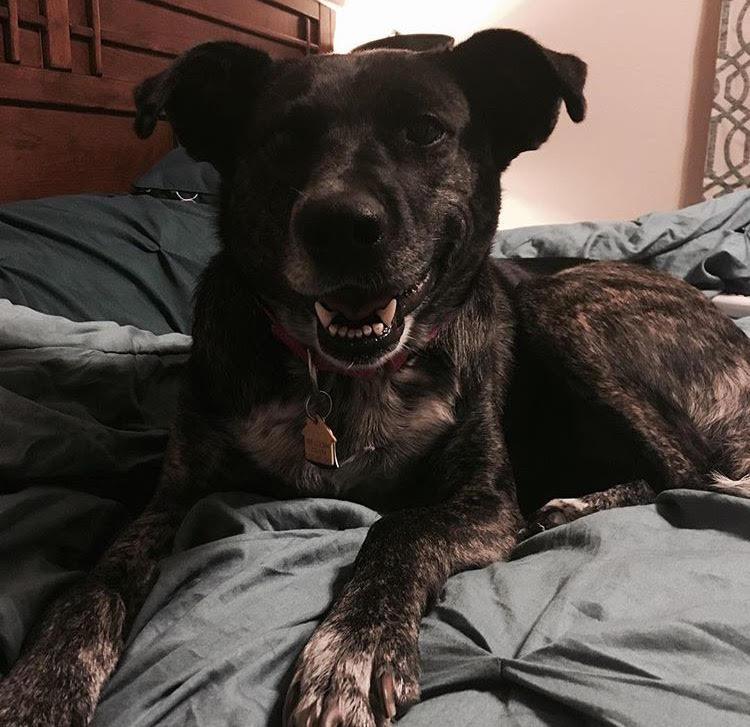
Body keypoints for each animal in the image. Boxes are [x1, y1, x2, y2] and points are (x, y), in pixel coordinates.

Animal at [1, 27, 750, 727]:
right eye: (283, 136)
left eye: (425, 130)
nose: (339, 226)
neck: (342, 380)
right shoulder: (174, 497)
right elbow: (94, 581)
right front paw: (43, 685)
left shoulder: (484, 500)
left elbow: (400, 530)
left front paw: (351, 651)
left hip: (566, 304)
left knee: (688, 471)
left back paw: (572, 505)